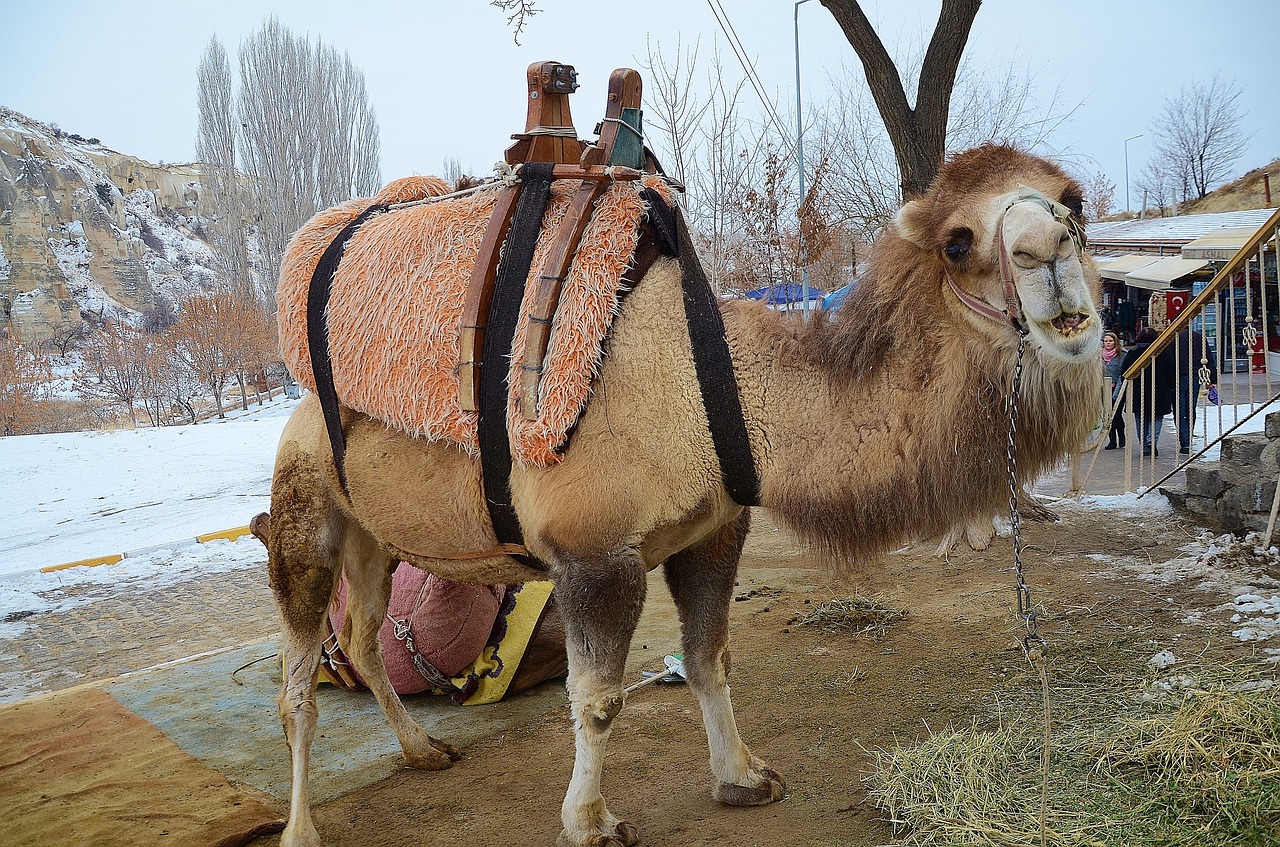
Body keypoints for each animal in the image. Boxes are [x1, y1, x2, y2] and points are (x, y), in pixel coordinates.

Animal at [267, 142, 1100, 844]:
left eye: (1075, 202)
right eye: (958, 241)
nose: (1048, 251)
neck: (715, 388)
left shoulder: (713, 530)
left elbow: (709, 656)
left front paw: (744, 777)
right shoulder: (595, 556)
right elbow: (599, 698)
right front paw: (590, 822)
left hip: (374, 537)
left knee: (364, 638)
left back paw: (424, 750)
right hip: (304, 510)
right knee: (300, 679)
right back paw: (302, 828)